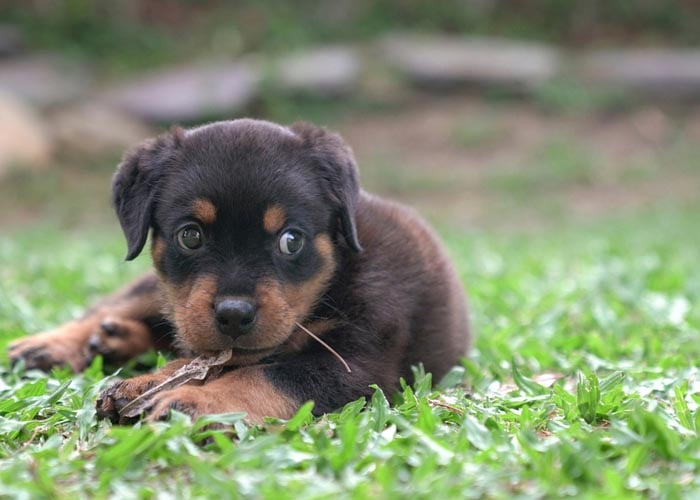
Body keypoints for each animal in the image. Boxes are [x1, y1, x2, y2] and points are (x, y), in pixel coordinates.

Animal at [8, 119, 468, 424]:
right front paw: (151, 385)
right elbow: (219, 361)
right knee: (117, 307)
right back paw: (51, 345)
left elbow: (261, 376)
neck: (334, 277)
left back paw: (114, 341)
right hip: (158, 290)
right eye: (190, 236)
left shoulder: (360, 365)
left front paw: (191, 402)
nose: (233, 314)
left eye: (291, 240)